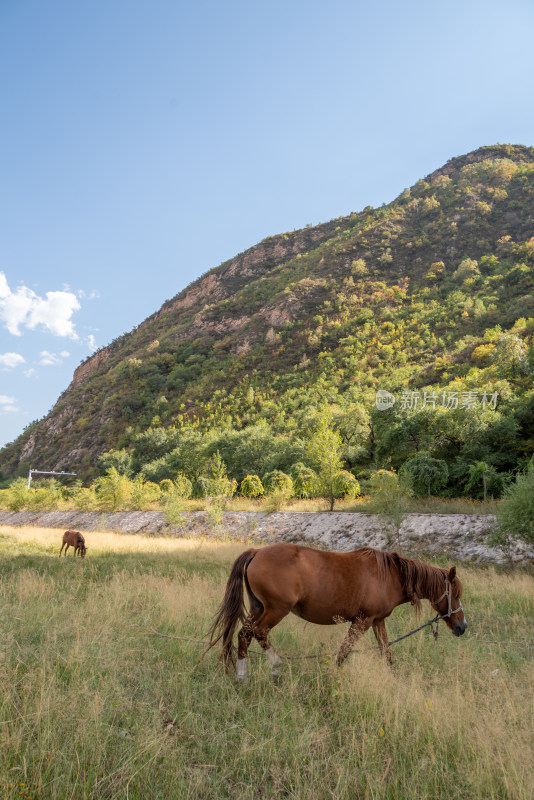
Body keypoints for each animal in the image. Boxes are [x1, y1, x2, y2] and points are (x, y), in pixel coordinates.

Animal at [209, 540, 468, 680]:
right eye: (455, 594)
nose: (462, 626)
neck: (390, 576)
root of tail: (257, 552)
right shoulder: (362, 622)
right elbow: (344, 652)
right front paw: (332, 675)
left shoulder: (377, 621)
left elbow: (386, 652)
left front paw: (393, 678)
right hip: (275, 610)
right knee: (258, 632)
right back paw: (276, 665)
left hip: (258, 608)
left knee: (244, 634)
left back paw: (242, 676)